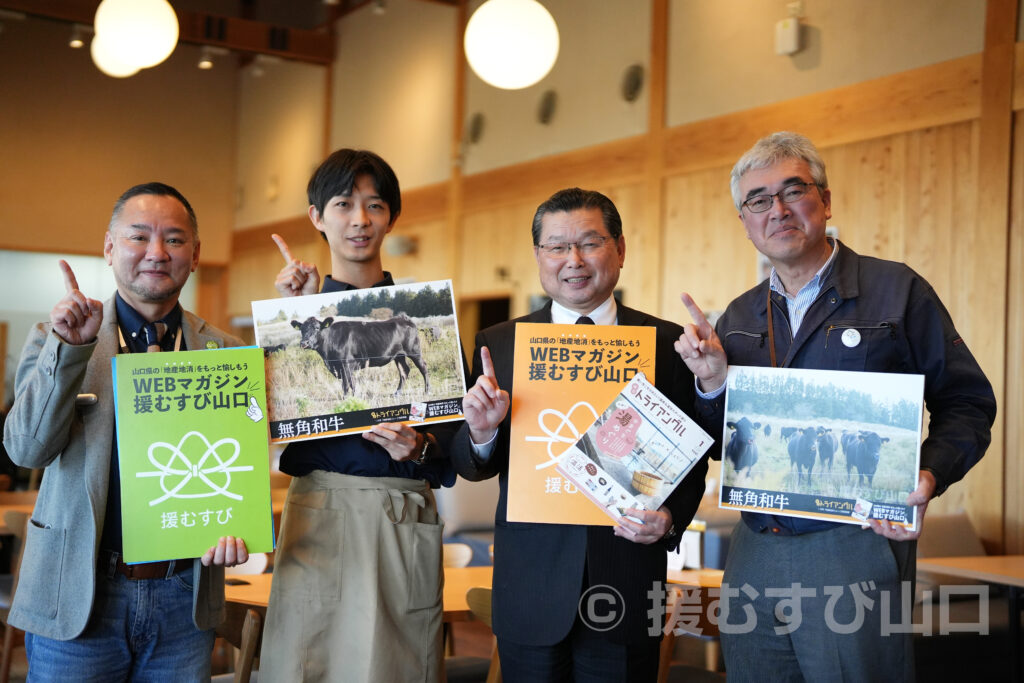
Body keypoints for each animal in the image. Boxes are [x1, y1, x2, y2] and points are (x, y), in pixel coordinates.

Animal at [290, 315, 430, 395]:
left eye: (317, 328)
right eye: (302, 329)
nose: (304, 343)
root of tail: (406, 320)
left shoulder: (347, 364)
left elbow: (349, 384)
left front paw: (351, 398)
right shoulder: (342, 367)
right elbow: (347, 384)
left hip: (414, 351)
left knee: (423, 368)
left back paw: (427, 391)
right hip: (399, 356)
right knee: (404, 371)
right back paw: (397, 393)